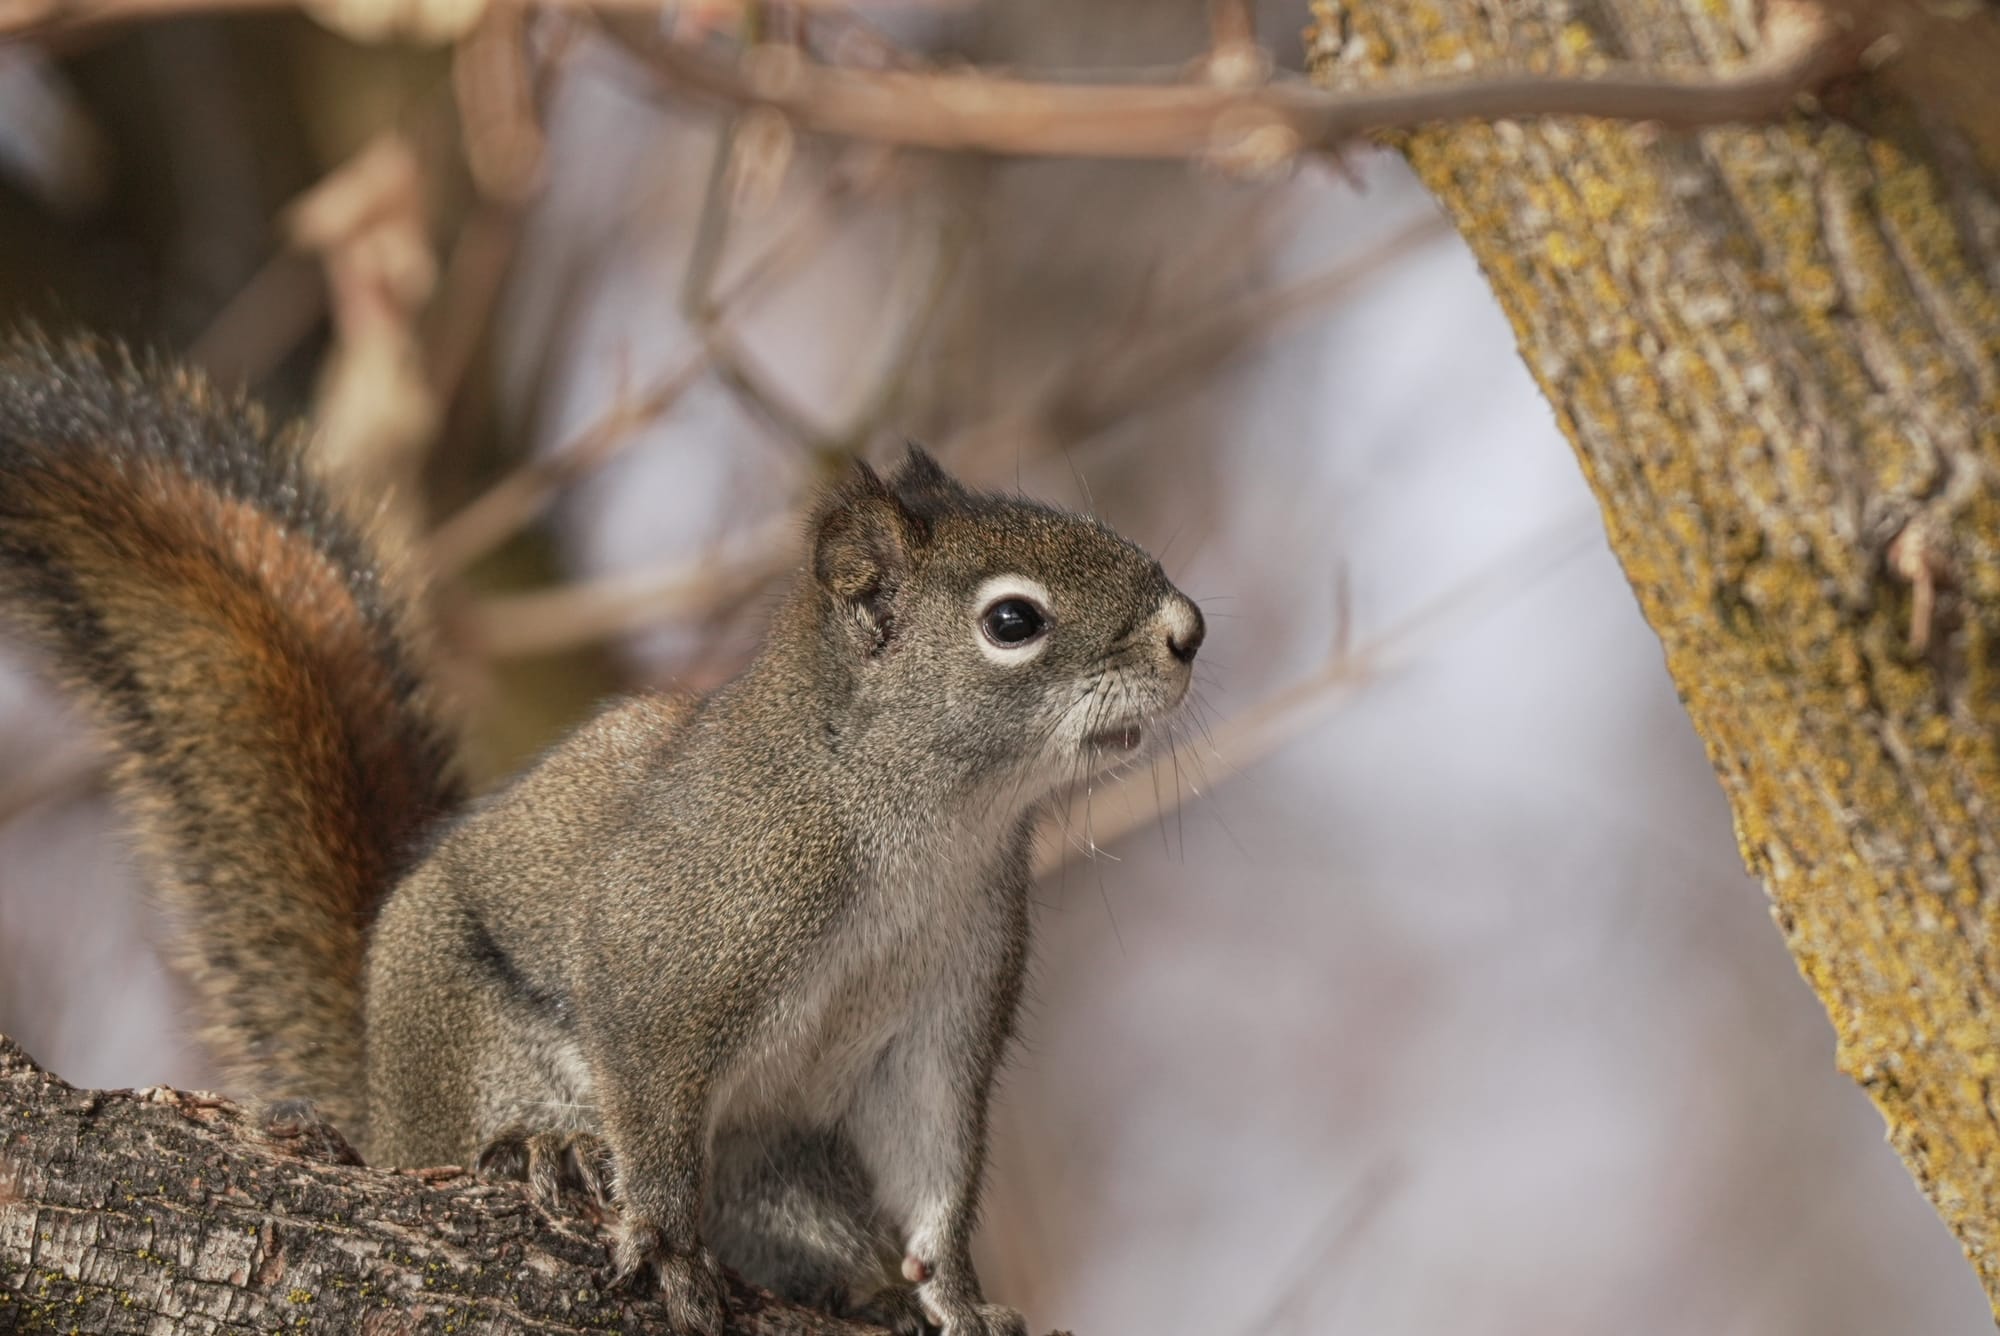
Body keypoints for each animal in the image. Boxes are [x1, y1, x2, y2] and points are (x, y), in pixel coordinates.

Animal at [0, 333, 1205, 1336]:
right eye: (1012, 620)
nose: (1187, 629)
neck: (933, 824)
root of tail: (381, 1106)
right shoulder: (678, 938)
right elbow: (653, 1081)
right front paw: (665, 1243)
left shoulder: (947, 1005)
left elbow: (933, 1164)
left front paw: (951, 1296)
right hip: (471, 1053)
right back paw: (551, 1151)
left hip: (780, 1174)